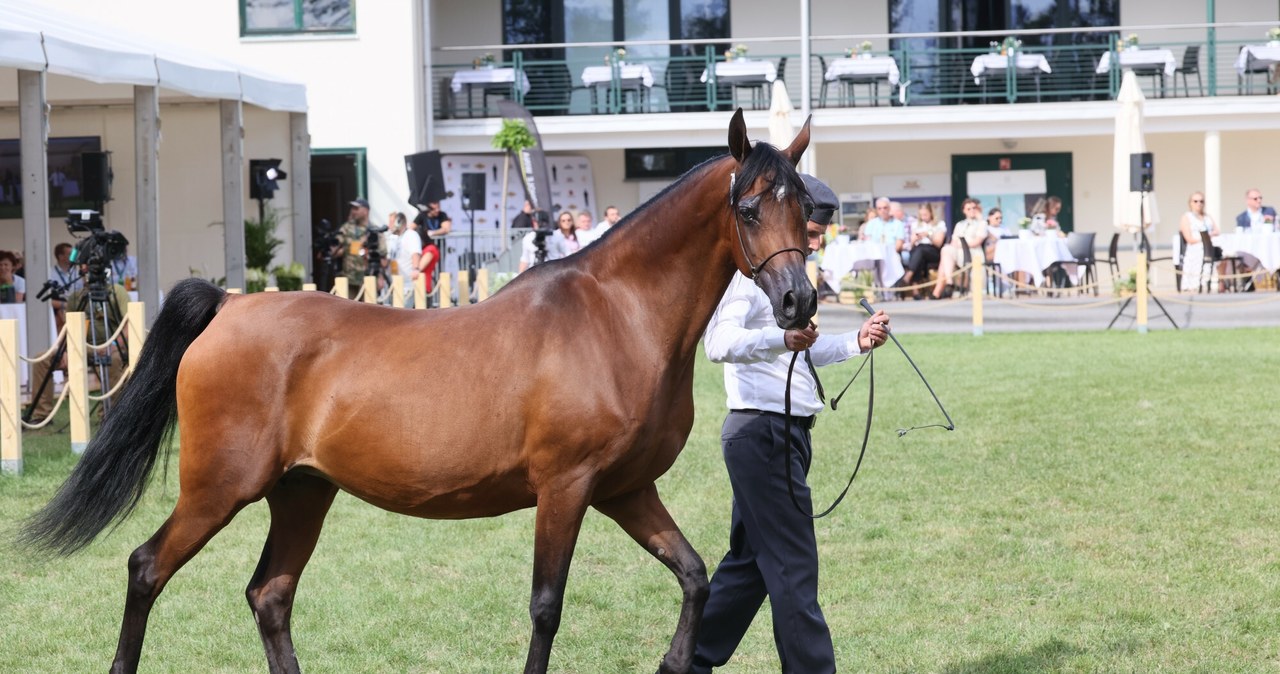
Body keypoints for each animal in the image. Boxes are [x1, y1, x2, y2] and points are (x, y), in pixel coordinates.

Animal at [22, 110, 819, 674]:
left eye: (805, 207)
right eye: (749, 208)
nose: (799, 302)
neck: (613, 316)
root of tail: (230, 304)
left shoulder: (625, 489)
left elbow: (694, 577)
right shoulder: (566, 488)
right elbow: (546, 607)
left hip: (302, 491)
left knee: (269, 595)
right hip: (220, 487)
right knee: (147, 568)